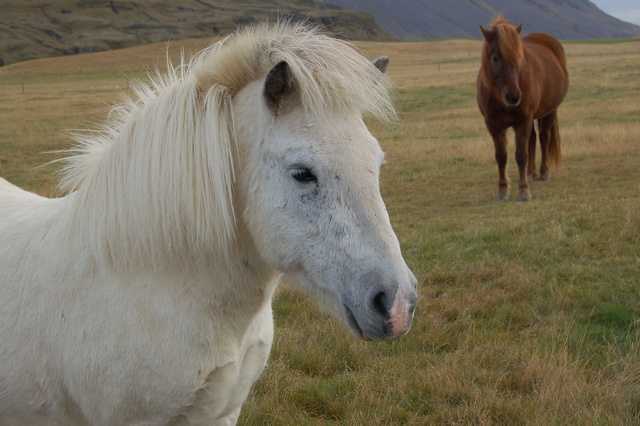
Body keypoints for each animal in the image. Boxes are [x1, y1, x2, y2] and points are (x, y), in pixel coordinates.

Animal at [477, 16, 569, 201]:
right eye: (495, 58)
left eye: (519, 57)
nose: (513, 97)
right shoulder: (493, 125)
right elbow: (501, 156)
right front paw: (502, 190)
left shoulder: (522, 121)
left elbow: (521, 155)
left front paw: (524, 191)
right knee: (532, 139)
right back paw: (531, 174)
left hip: (549, 111)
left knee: (544, 137)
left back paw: (543, 173)